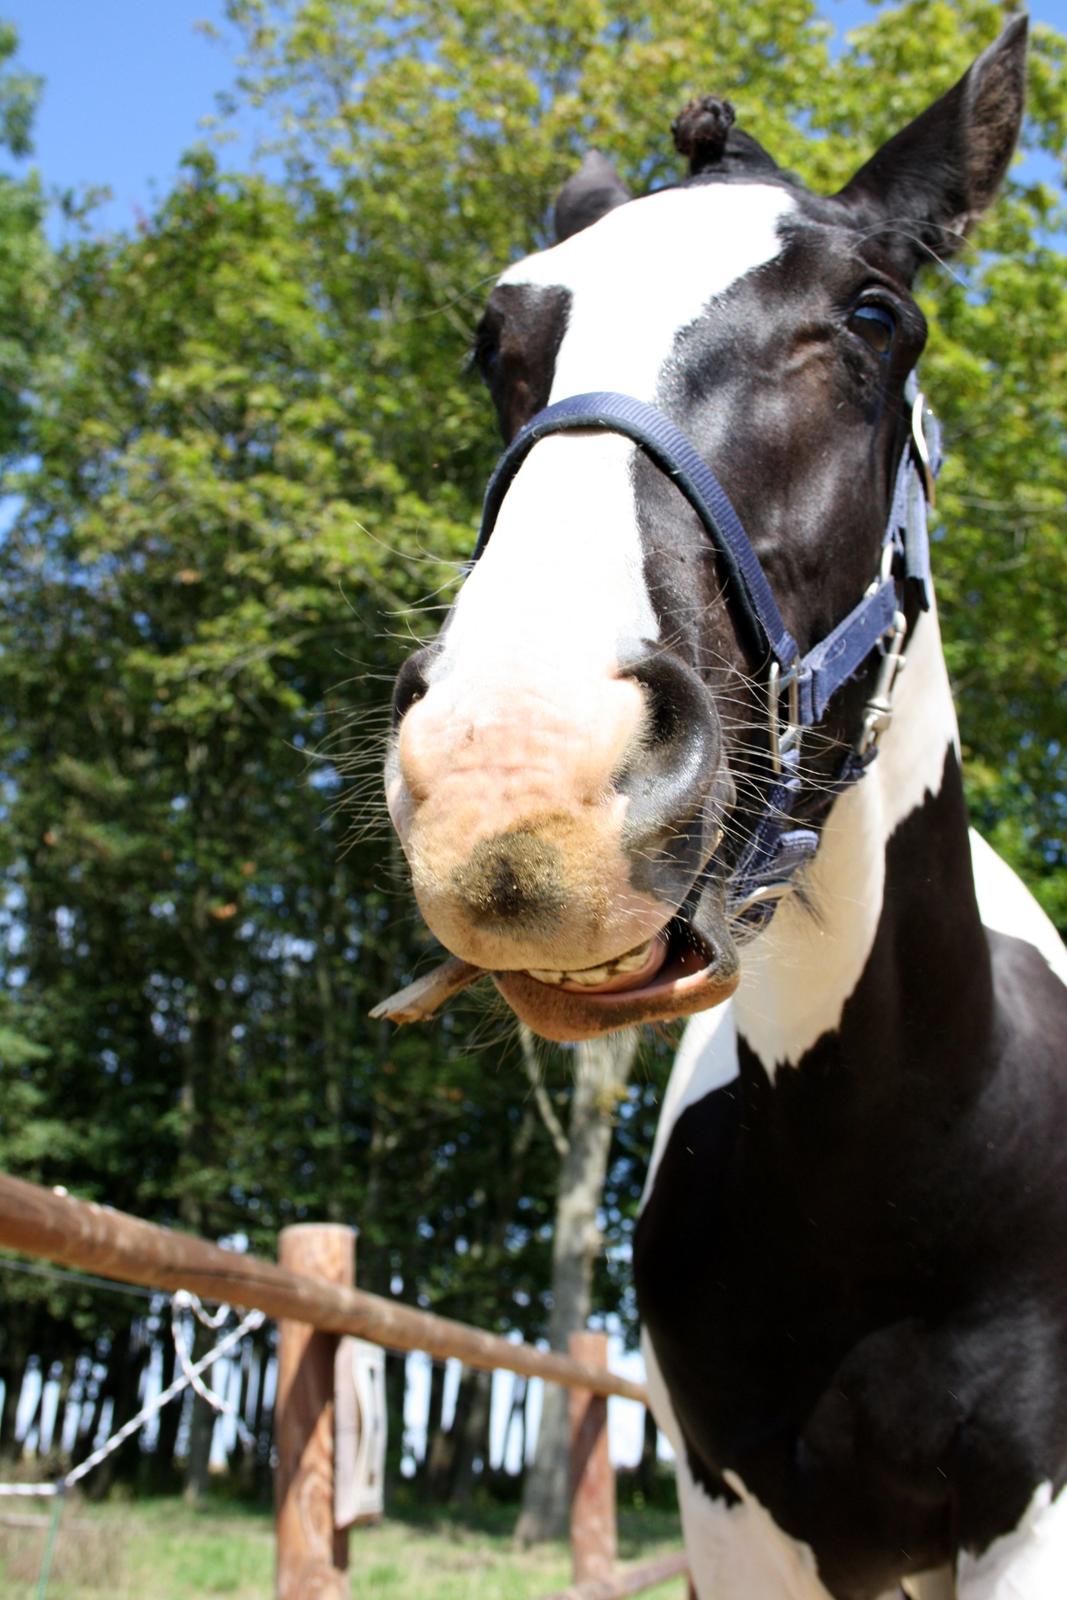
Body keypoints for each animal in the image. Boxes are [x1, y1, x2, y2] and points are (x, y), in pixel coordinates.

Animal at [379, 15, 1062, 1600]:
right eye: (496, 345)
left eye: (872, 317)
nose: (516, 772)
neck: (895, 1164)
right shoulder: (731, 1522)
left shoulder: (1032, 1524)